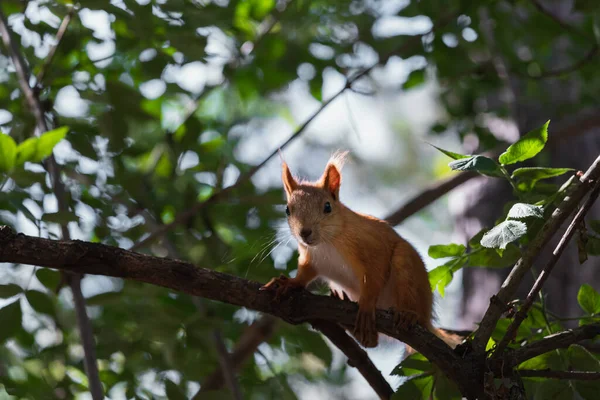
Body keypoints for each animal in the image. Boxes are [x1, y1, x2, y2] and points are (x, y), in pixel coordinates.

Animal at [258, 152, 460, 350]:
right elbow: (305, 274)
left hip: (407, 267)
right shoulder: (312, 259)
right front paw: (289, 282)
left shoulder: (372, 246)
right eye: (287, 210)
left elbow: (375, 275)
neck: (326, 243)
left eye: (327, 207)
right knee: (372, 342)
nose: (305, 233)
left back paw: (408, 314)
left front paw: (367, 304)